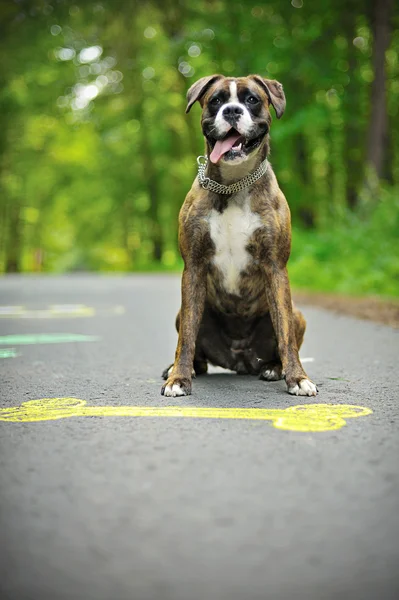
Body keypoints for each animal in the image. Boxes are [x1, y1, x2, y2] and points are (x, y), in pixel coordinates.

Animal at [161, 75, 318, 398]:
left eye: (252, 100)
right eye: (216, 100)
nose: (232, 110)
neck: (233, 185)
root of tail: (239, 360)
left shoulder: (276, 267)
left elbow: (286, 336)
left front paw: (298, 378)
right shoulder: (193, 268)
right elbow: (186, 338)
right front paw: (178, 378)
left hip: (298, 314)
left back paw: (274, 368)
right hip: (183, 313)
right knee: (193, 345)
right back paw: (182, 369)